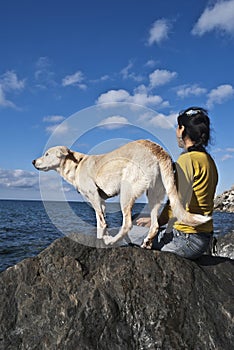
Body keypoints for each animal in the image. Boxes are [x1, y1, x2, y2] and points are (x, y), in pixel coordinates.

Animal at [33, 139, 210, 249]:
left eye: (47, 154)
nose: (33, 161)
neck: (76, 165)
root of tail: (157, 149)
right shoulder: (101, 201)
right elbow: (101, 222)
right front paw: (101, 237)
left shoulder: (94, 196)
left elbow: (102, 223)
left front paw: (103, 240)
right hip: (154, 196)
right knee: (154, 225)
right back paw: (146, 243)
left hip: (126, 193)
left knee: (127, 224)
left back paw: (113, 241)